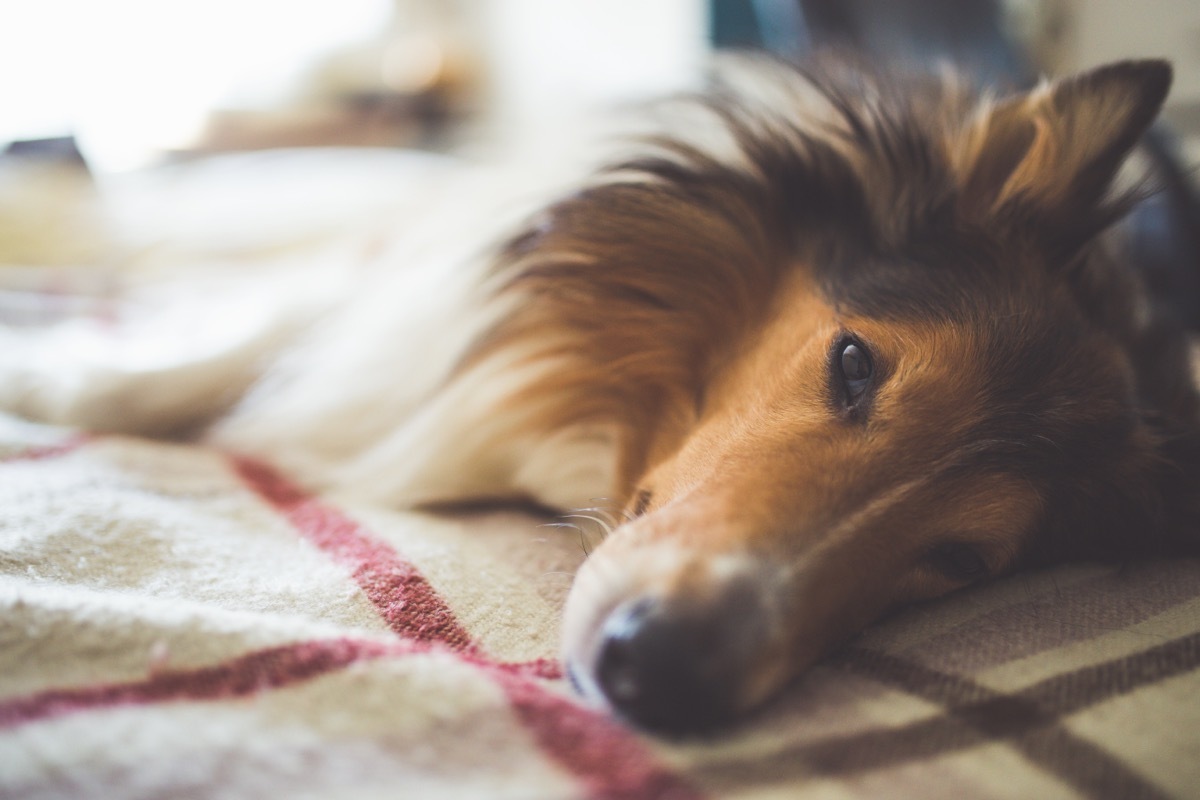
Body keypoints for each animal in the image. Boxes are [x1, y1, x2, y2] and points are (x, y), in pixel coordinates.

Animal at [7, 53, 1200, 734]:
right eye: (855, 364)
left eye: (961, 559)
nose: (658, 676)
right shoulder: (407, 279)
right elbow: (236, 346)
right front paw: (58, 380)